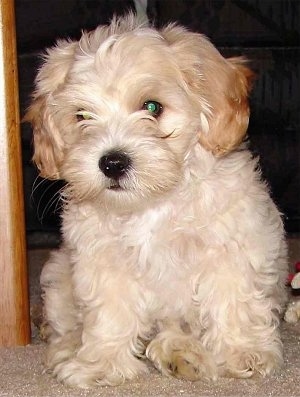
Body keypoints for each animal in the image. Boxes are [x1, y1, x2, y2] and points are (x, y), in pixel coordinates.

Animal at [27, 13, 288, 386]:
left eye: (152, 107)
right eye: (82, 116)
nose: (112, 162)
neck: (152, 203)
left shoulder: (231, 244)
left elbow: (233, 299)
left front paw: (244, 352)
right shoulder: (103, 260)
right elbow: (110, 314)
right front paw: (101, 364)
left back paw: (182, 354)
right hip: (59, 277)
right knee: (67, 323)